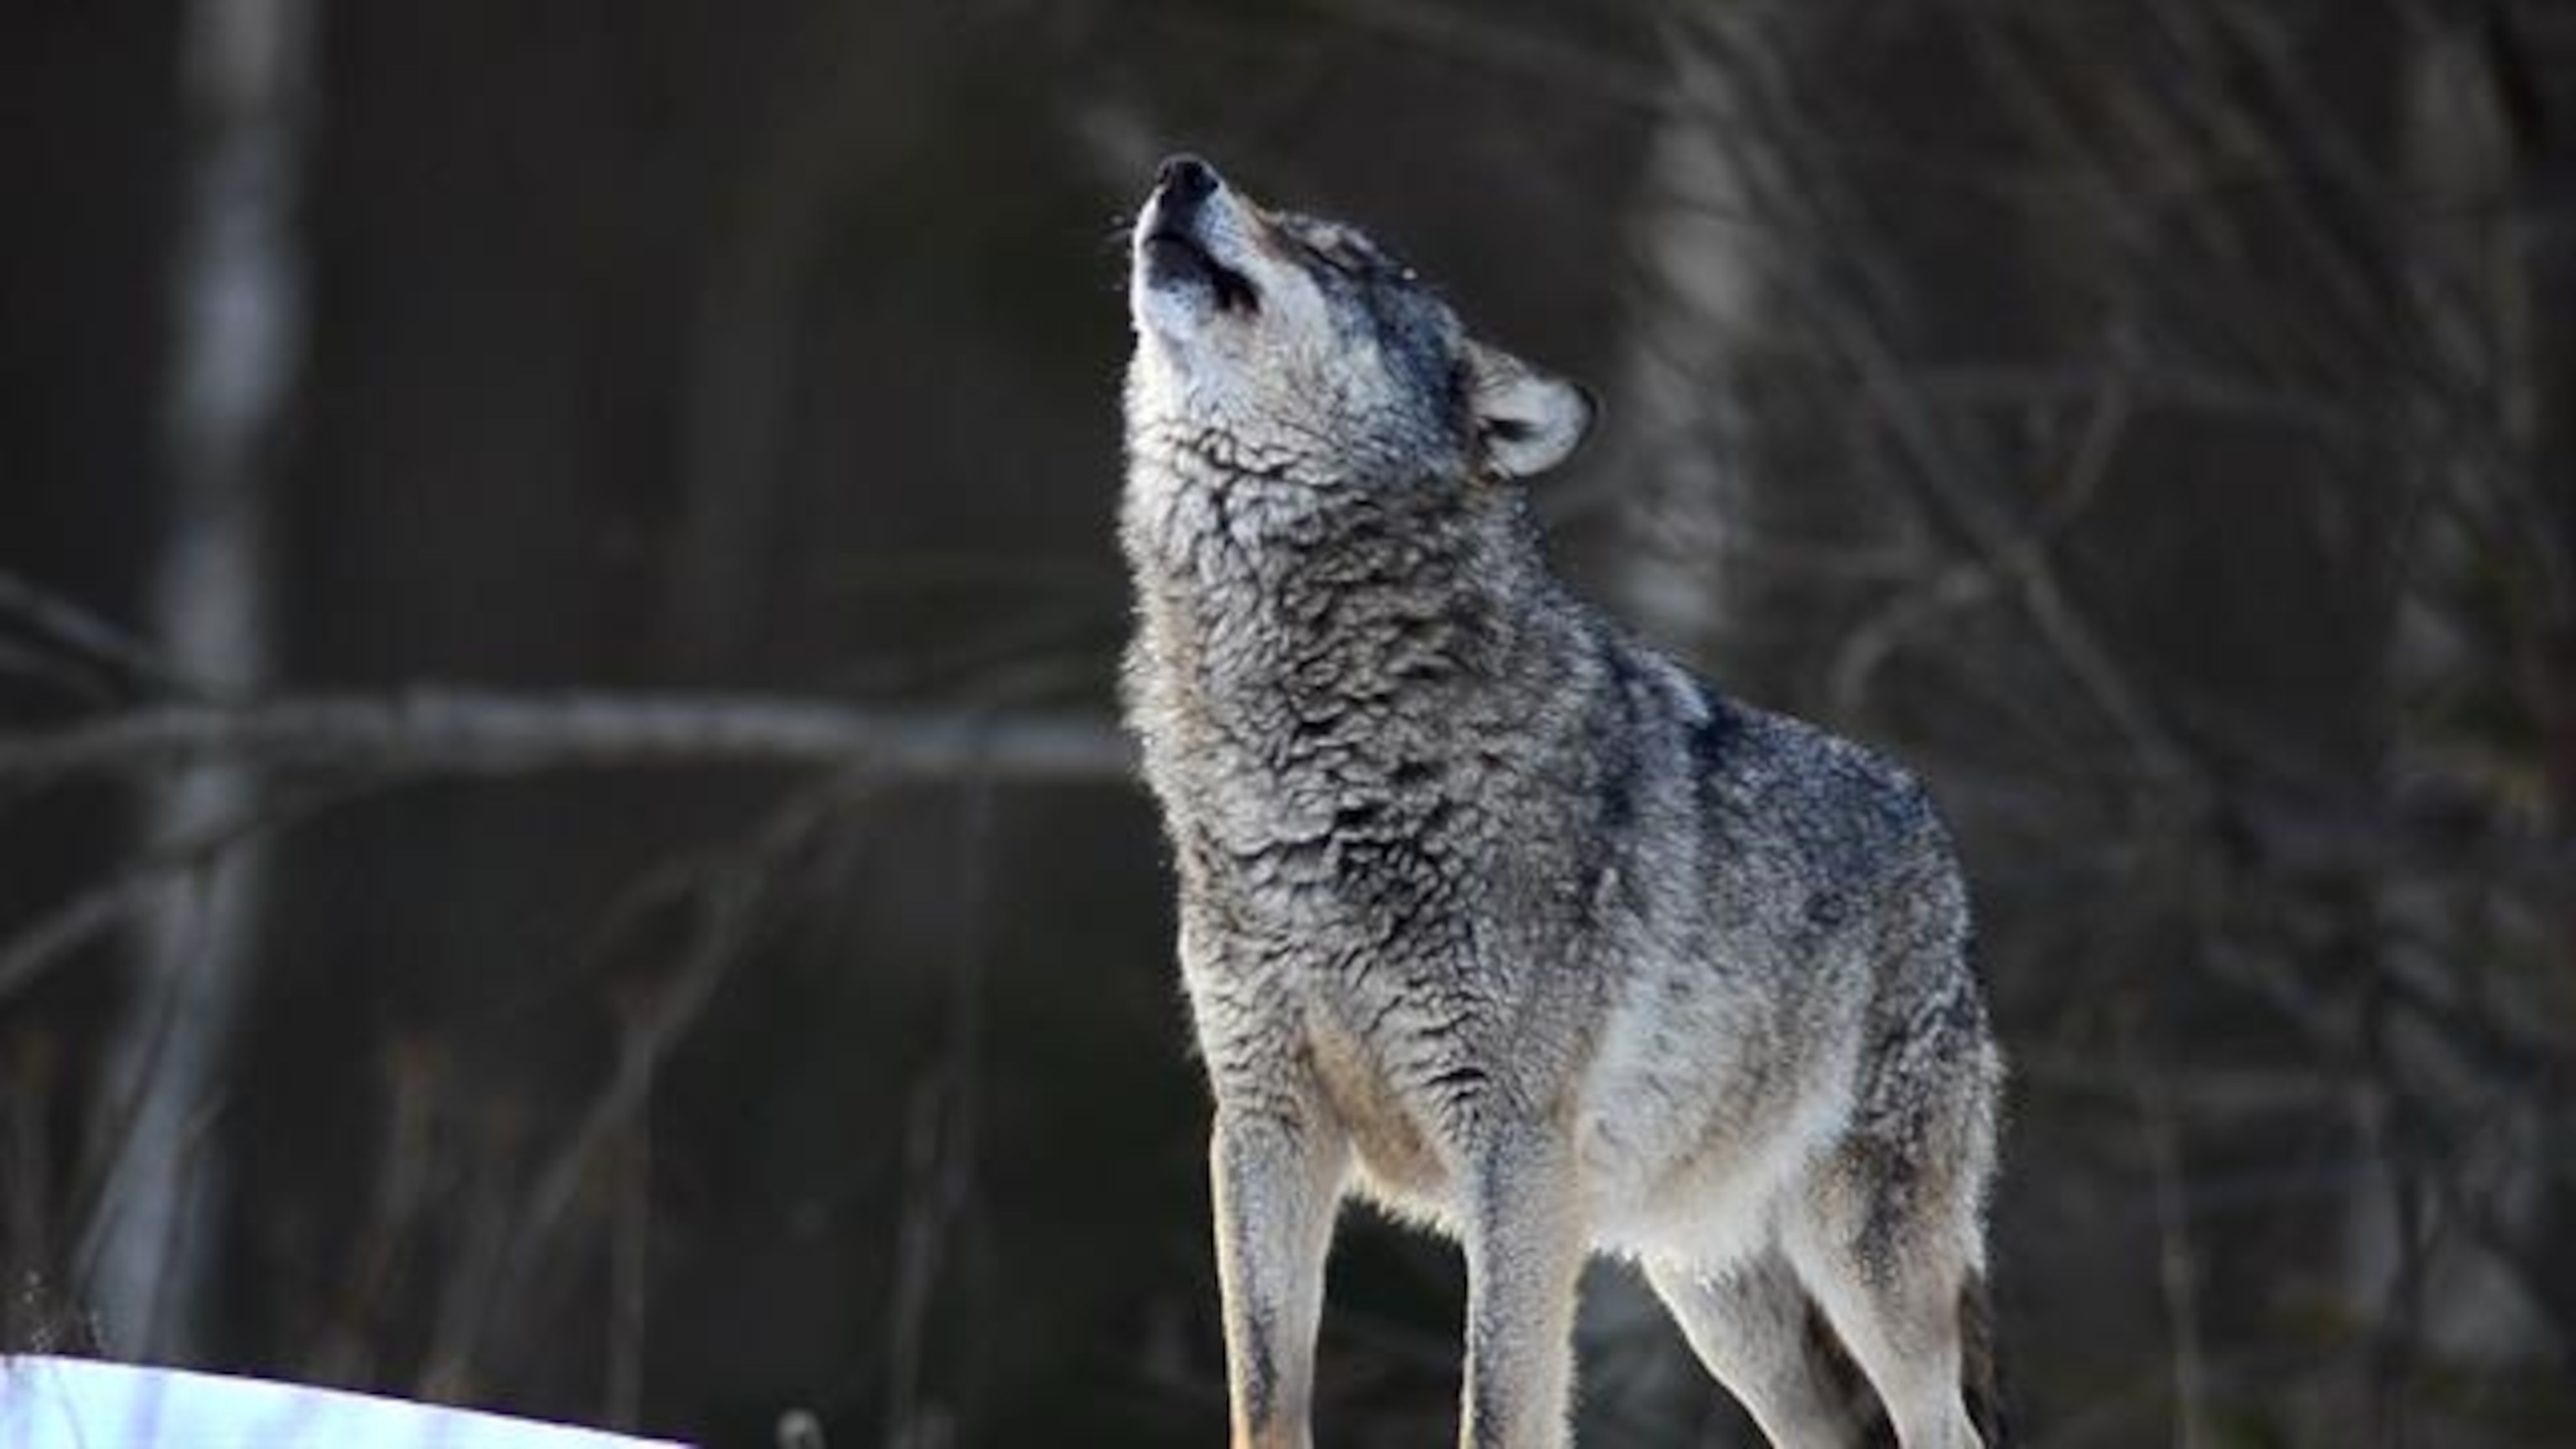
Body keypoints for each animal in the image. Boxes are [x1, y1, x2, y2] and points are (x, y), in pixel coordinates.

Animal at [1118, 155, 1998, 1443]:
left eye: (1341, 257)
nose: (1183, 174)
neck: (1309, 759)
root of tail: (1934, 838)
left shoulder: (1516, 1148)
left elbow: (1498, 1403)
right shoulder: (1263, 1123)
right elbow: (1264, 1398)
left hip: (1865, 1265)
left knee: (1944, 1424)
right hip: (1718, 1296)